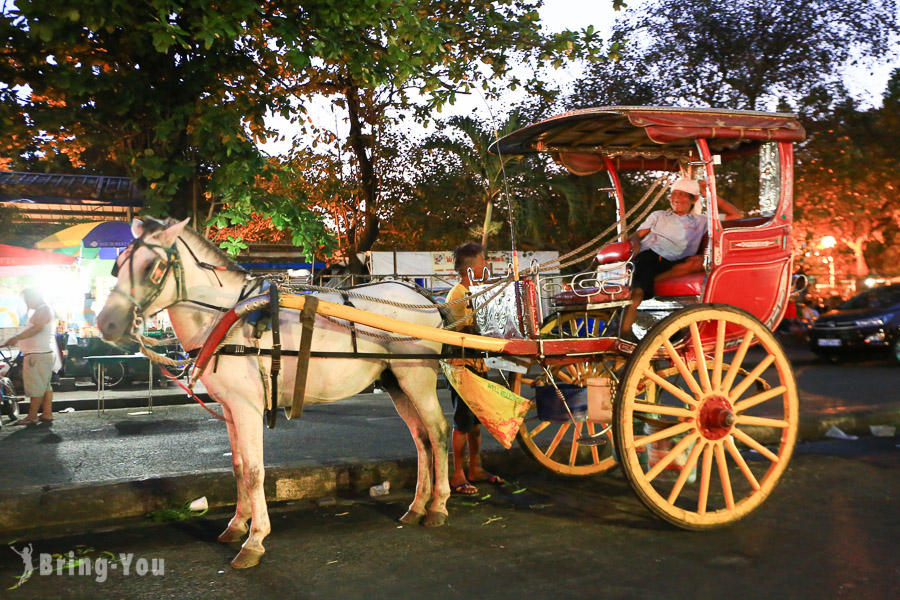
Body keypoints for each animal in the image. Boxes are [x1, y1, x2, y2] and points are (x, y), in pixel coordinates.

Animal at [97, 218, 450, 568]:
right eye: (118, 264)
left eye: (153, 267)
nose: (106, 323)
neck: (226, 317)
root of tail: (426, 300)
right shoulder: (230, 408)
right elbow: (239, 467)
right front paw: (237, 524)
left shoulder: (248, 406)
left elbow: (254, 471)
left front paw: (255, 539)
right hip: (396, 382)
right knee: (421, 439)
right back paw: (417, 505)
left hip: (417, 377)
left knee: (439, 432)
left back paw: (437, 506)